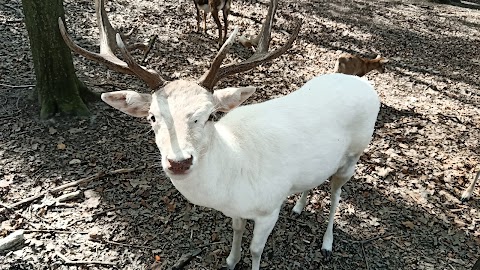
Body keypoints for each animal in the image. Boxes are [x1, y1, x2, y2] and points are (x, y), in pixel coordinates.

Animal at [60, 0, 380, 268]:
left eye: (210, 115)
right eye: (152, 116)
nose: (179, 162)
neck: (233, 179)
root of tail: (364, 84)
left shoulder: (269, 207)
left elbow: (256, 250)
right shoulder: (237, 210)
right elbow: (237, 230)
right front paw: (230, 260)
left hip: (356, 151)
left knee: (337, 191)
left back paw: (327, 243)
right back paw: (300, 207)